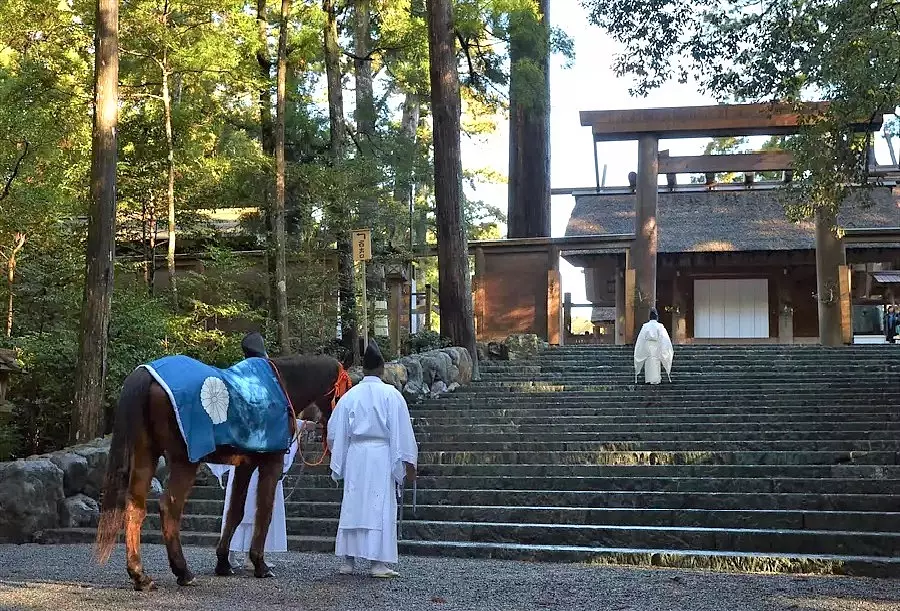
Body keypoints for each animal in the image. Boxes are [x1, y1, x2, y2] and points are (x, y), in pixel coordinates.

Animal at [96, 340, 352, 592]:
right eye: (344, 391)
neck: (282, 385)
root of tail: (147, 374)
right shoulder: (271, 462)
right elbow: (264, 511)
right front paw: (259, 564)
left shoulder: (245, 464)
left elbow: (235, 511)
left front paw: (223, 562)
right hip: (184, 461)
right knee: (169, 507)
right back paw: (183, 572)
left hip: (145, 455)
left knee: (135, 508)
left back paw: (140, 575)